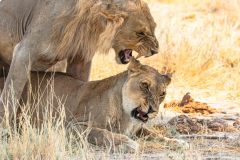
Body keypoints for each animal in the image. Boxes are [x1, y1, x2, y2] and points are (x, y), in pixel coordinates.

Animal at [0, 0, 158, 122]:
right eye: (140, 33)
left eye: (154, 27)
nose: (155, 51)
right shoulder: (23, 53)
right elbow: (10, 96)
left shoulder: (80, 59)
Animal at [0, 58, 184, 150]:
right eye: (144, 85)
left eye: (162, 93)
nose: (153, 110)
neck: (126, 116)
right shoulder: (71, 126)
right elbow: (103, 133)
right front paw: (128, 143)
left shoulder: (138, 129)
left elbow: (154, 133)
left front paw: (177, 142)